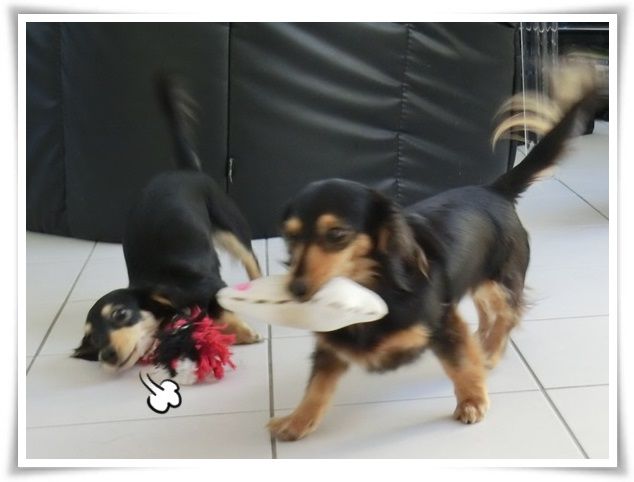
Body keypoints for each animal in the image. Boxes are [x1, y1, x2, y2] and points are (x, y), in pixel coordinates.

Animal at [73, 75, 262, 372]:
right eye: (93, 338)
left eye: (120, 314)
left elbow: (219, 309)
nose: (107, 355)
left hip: (231, 228)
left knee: (251, 259)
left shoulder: (210, 286)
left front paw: (241, 332)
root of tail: (184, 170)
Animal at [268, 66, 599, 441]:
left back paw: (489, 351)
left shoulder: (442, 322)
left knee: (508, 315)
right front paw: (297, 420)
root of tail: (494, 190)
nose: (296, 291)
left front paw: (472, 400)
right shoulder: (334, 340)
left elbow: (460, 365)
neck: (375, 287)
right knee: (489, 314)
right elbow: (317, 385)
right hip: (480, 280)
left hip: (500, 281)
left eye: (336, 234)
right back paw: (483, 342)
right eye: (290, 236)